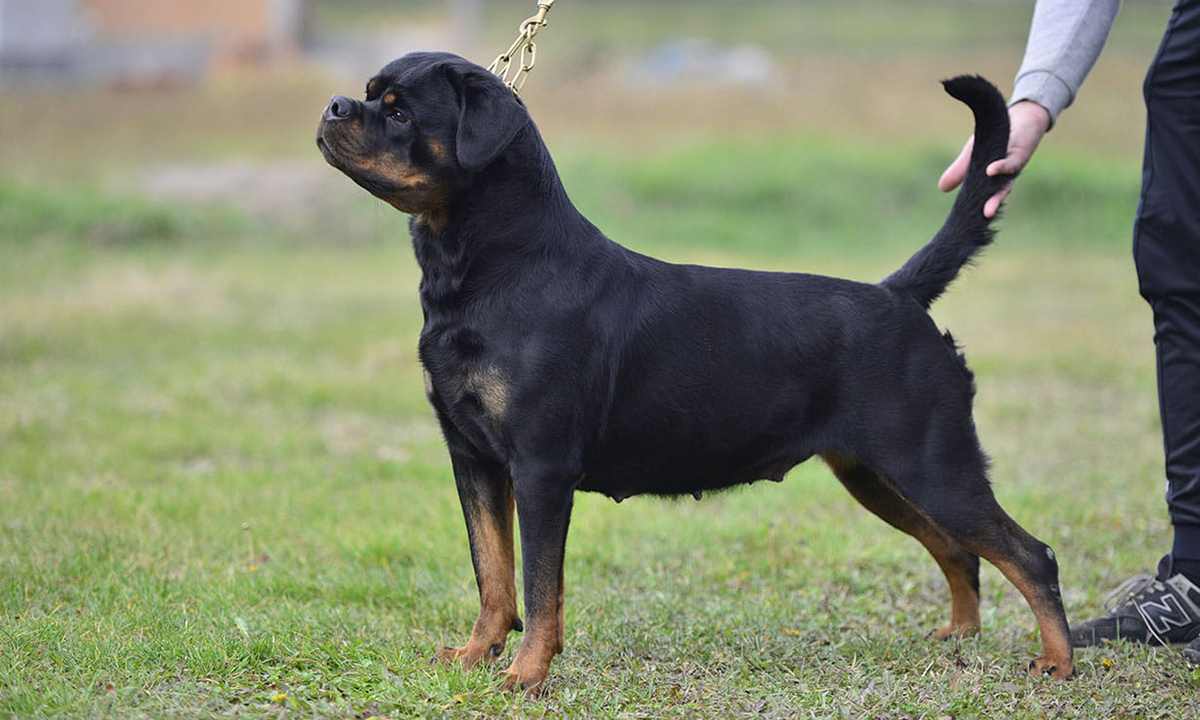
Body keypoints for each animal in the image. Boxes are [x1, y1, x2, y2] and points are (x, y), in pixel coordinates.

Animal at [314, 53, 1075, 696]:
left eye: (399, 113)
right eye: (370, 94)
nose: (334, 104)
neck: (491, 266)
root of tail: (899, 295)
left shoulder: (540, 469)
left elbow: (539, 587)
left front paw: (526, 675)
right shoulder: (472, 458)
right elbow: (493, 576)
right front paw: (476, 655)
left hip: (931, 465)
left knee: (1030, 554)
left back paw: (1057, 663)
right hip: (874, 473)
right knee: (959, 550)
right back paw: (961, 636)